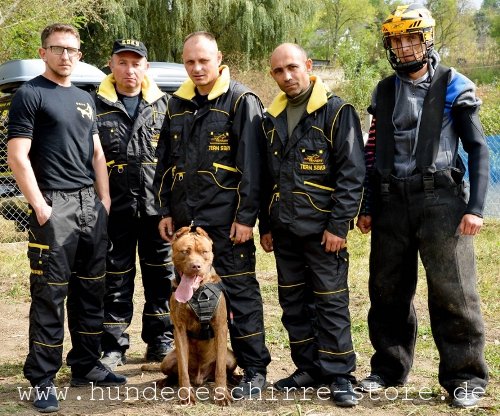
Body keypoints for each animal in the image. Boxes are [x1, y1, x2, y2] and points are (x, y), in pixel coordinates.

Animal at [160, 226, 238, 404]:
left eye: (204, 252)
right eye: (184, 251)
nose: (196, 266)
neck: (197, 293)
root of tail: (201, 377)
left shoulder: (220, 327)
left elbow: (220, 369)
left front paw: (221, 394)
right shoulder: (179, 329)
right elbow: (182, 369)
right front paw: (186, 395)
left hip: (232, 358)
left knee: (224, 369)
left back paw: (236, 379)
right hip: (166, 361)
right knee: (174, 373)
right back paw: (164, 382)